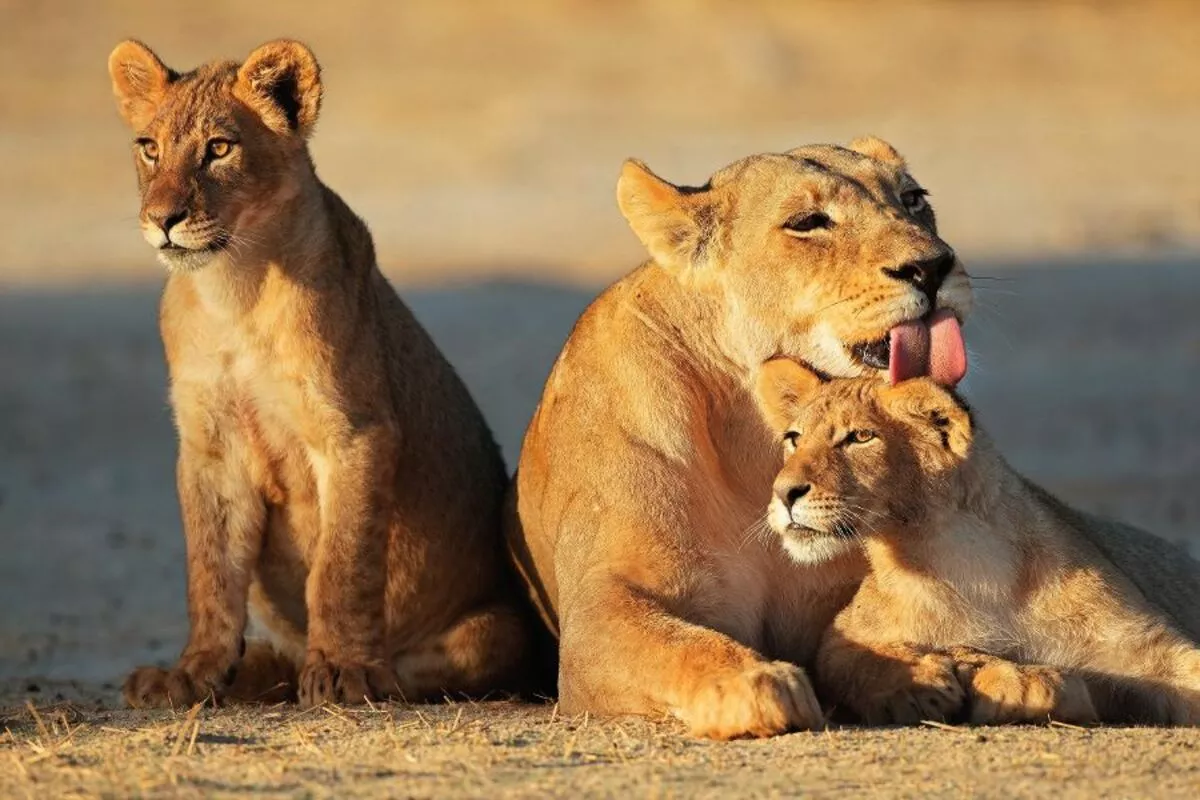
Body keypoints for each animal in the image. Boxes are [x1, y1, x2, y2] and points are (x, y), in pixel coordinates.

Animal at [107, 39, 539, 708]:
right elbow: (210, 573)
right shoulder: (209, 447)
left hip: (501, 628)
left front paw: (343, 670)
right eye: (149, 147)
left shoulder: (355, 431)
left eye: (219, 148)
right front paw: (191, 674)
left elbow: (341, 564)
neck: (234, 291)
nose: (163, 218)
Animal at [506, 138, 973, 738]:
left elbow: (860, 632)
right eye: (808, 222)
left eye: (913, 199)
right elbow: (678, 644)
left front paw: (920, 676)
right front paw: (756, 682)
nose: (934, 266)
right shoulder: (599, 613)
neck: (757, 439)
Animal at [754, 360, 1200, 726]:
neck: (967, 562)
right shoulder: (845, 630)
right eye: (794, 438)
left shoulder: (1148, 649)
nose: (783, 492)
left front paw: (1021, 682)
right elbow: (854, 658)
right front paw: (918, 685)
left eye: (861, 437)